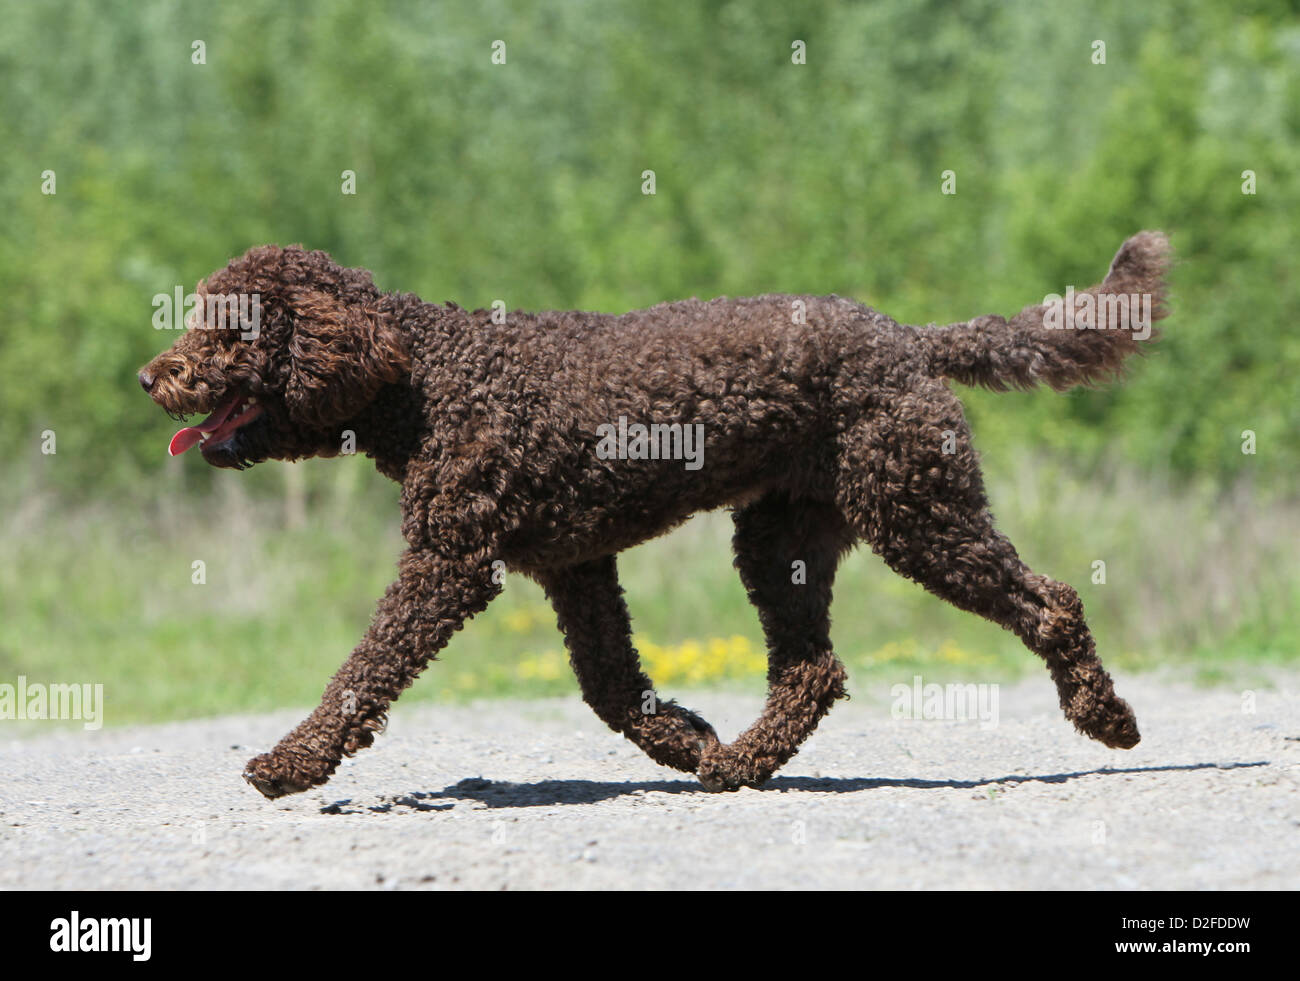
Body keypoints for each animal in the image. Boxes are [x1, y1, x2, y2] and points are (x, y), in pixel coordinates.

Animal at [139, 232, 1170, 800]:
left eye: (224, 327)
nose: (151, 374)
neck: (425, 376)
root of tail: (911, 340)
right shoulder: (575, 566)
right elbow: (608, 686)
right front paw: (685, 736)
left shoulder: (447, 563)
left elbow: (362, 671)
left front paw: (290, 763)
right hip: (783, 539)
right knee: (813, 667)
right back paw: (736, 763)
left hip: (918, 510)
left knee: (1048, 600)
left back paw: (1108, 718)